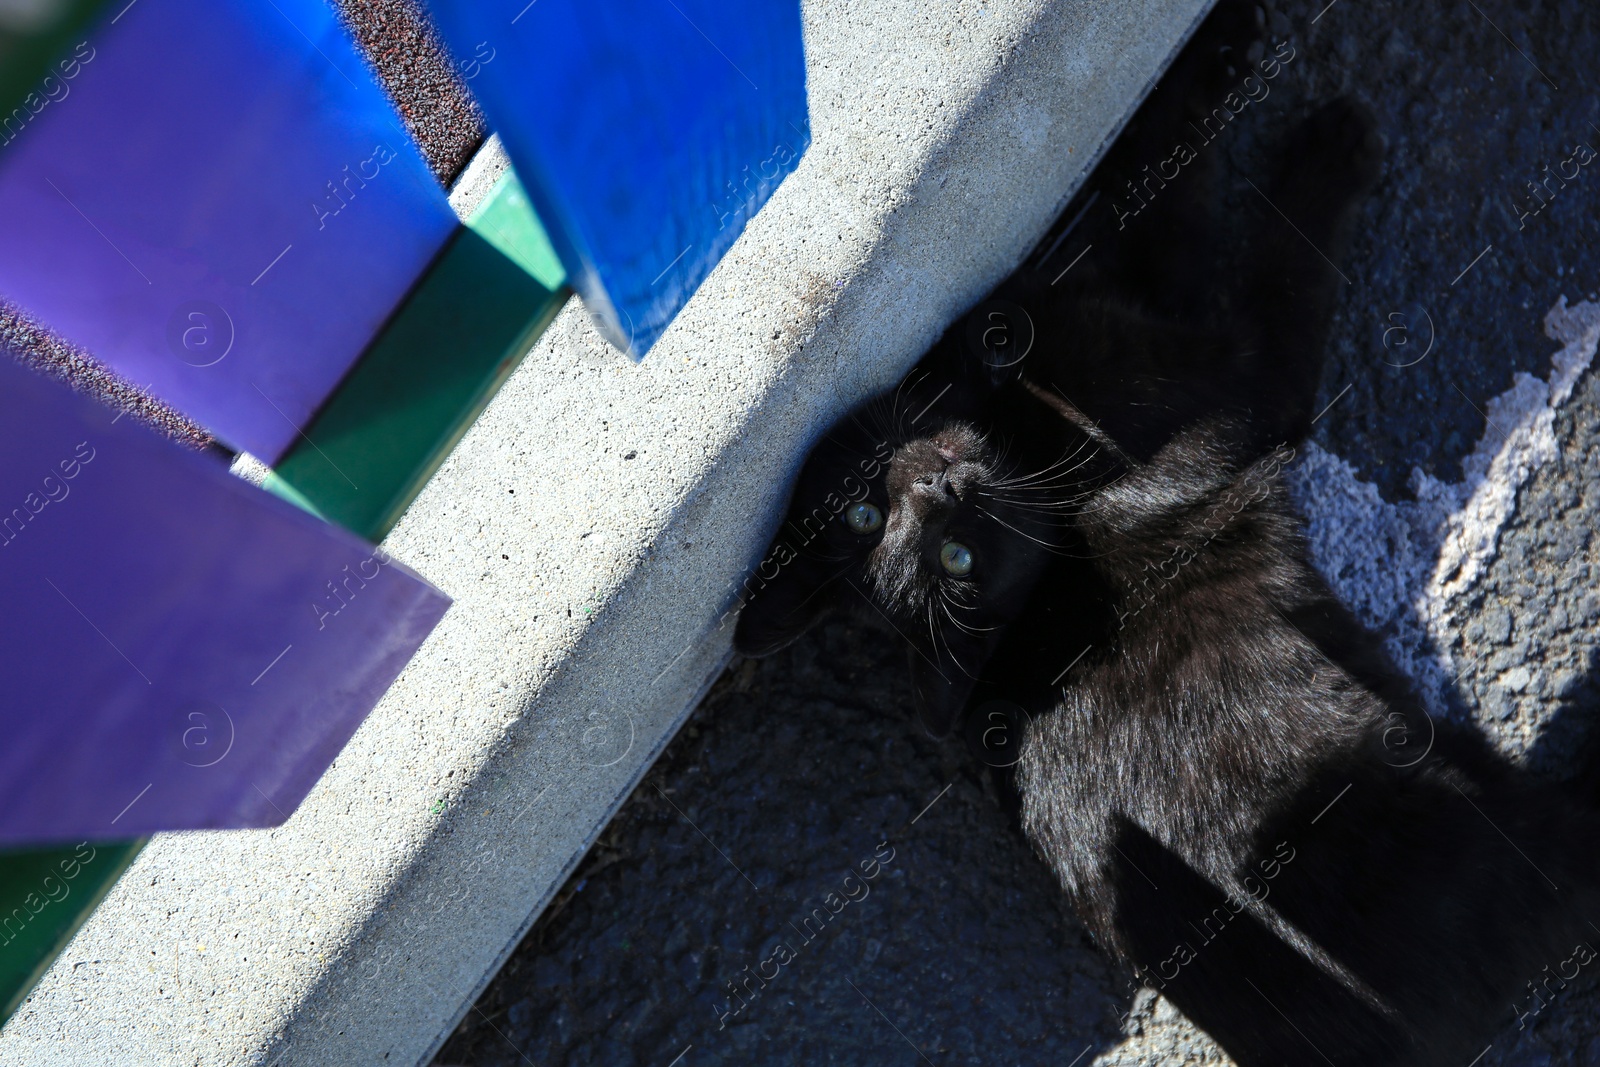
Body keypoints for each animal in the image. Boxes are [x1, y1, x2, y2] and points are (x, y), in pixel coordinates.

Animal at [732, 4, 1600, 1062]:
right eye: (951, 556)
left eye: (871, 517)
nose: (942, 486)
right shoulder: (1239, 380)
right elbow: (1262, 249)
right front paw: (1321, 140)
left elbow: (1151, 192)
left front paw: (1206, 62)